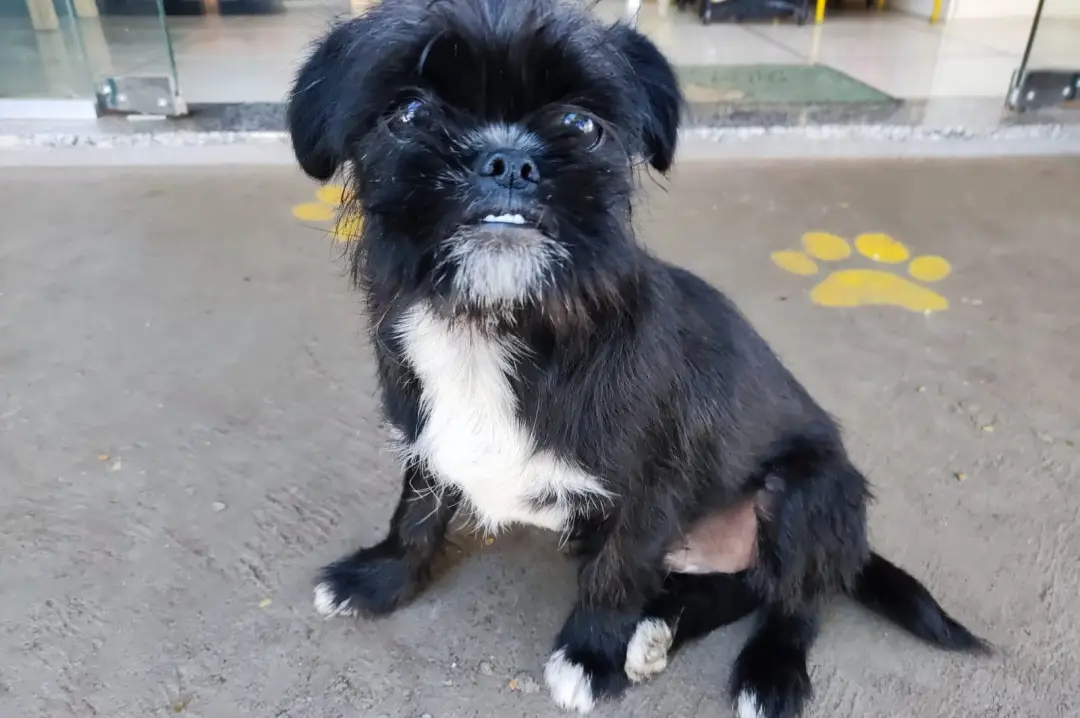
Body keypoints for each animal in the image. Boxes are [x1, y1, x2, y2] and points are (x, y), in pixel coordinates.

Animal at [286, 0, 988, 715]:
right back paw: (656, 633)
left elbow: (616, 574)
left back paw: (766, 672)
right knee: (738, 588)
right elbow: (416, 511)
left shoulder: (650, 490)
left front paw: (591, 657)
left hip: (806, 495)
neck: (500, 321)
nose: (506, 158)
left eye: (581, 125)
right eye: (410, 112)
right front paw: (381, 578)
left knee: (797, 600)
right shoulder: (430, 437)